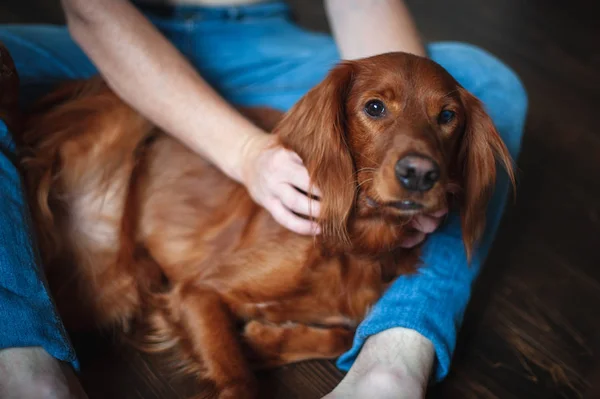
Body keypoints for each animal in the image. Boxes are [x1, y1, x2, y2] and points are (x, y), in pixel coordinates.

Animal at [21, 51, 512, 398]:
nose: (420, 174)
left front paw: (261, 339)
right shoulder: (196, 292)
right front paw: (252, 347)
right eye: (374, 107)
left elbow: (347, 334)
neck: (353, 247)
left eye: (447, 117)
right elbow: (240, 379)